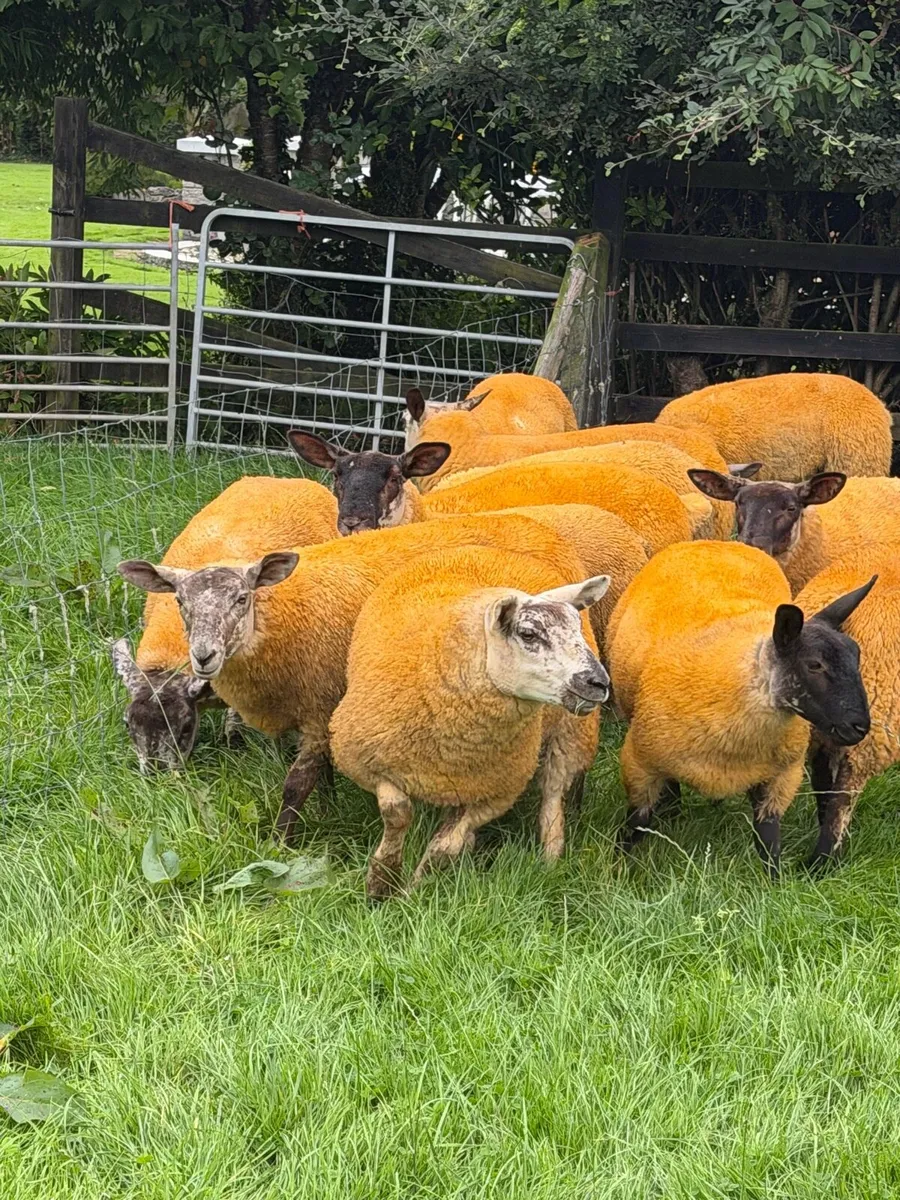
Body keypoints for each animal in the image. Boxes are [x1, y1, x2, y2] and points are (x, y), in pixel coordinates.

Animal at [117, 510, 598, 844]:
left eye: (241, 598)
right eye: (180, 601)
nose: (204, 656)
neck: (285, 617)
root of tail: (539, 527)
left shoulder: (320, 704)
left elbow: (296, 785)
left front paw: (281, 844)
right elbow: (322, 771)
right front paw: (328, 807)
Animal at [329, 545, 610, 898]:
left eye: (575, 629)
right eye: (528, 633)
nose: (599, 683)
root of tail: (495, 550)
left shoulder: (494, 793)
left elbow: (444, 847)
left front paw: (415, 891)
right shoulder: (369, 764)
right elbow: (398, 814)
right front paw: (382, 881)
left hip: (569, 737)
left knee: (552, 800)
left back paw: (549, 862)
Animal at [606, 540, 873, 877]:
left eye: (857, 656)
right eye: (815, 665)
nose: (860, 726)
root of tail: (718, 542)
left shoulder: (781, 777)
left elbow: (768, 838)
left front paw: (775, 882)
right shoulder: (639, 763)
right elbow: (636, 824)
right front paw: (617, 868)